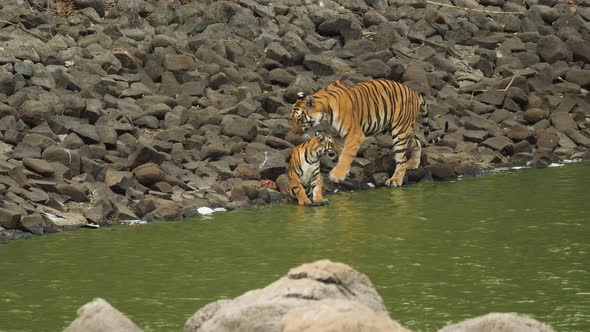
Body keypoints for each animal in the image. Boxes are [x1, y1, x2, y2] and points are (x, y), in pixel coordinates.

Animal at [292, 78, 440, 187]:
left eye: (299, 119)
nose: (296, 132)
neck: (325, 112)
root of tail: (414, 92)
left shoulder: (354, 134)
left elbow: (346, 154)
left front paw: (337, 175)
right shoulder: (338, 136)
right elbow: (341, 153)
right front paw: (344, 172)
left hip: (400, 131)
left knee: (401, 158)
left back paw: (396, 180)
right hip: (402, 129)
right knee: (417, 140)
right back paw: (413, 163)